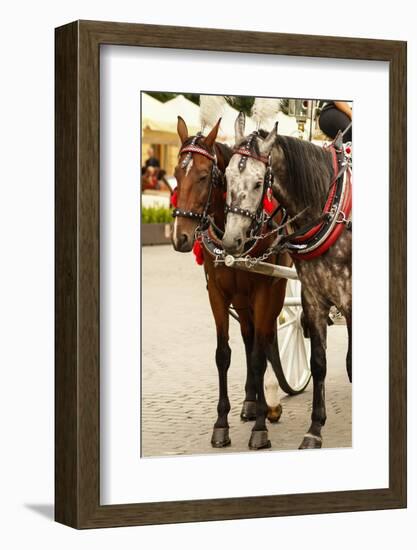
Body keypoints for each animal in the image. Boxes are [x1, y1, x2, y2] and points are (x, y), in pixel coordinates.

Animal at [171, 117, 290, 452]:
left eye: (203, 176)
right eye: (176, 174)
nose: (180, 237)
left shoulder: (265, 291)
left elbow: (261, 356)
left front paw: (261, 428)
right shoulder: (218, 293)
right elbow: (223, 354)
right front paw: (221, 424)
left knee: (265, 340)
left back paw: (267, 403)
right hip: (242, 299)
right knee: (250, 338)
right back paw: (252, 402)